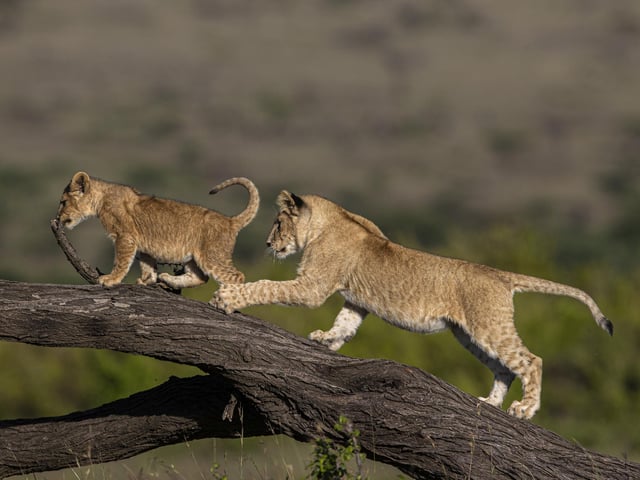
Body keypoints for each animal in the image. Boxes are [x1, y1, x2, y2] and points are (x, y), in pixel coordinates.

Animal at [57, 171, 259, 290]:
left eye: (63, 202)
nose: (58, 218)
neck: (101, 199)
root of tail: (231, 220)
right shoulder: (141, 243)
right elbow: (147, 264)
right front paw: (147, 280)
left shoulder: (125, 236)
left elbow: (121, 261)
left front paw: (111, 279)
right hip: (195, 257)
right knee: (200, 277)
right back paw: (168, 279)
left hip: (213, 256)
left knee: (237, 277)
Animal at [213, 190, 613, 419]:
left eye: (278, 223)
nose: (267, 244)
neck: (326, 223)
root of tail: (499, 274)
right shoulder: (356, 301)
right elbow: (346, 323)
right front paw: (326, 339)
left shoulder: (312, 287)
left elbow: (267, 287)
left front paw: (228, 298)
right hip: (468, 333)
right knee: (505, 368)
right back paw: (489, 403)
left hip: (487, 326)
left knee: (531, 361)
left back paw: (524, 409)